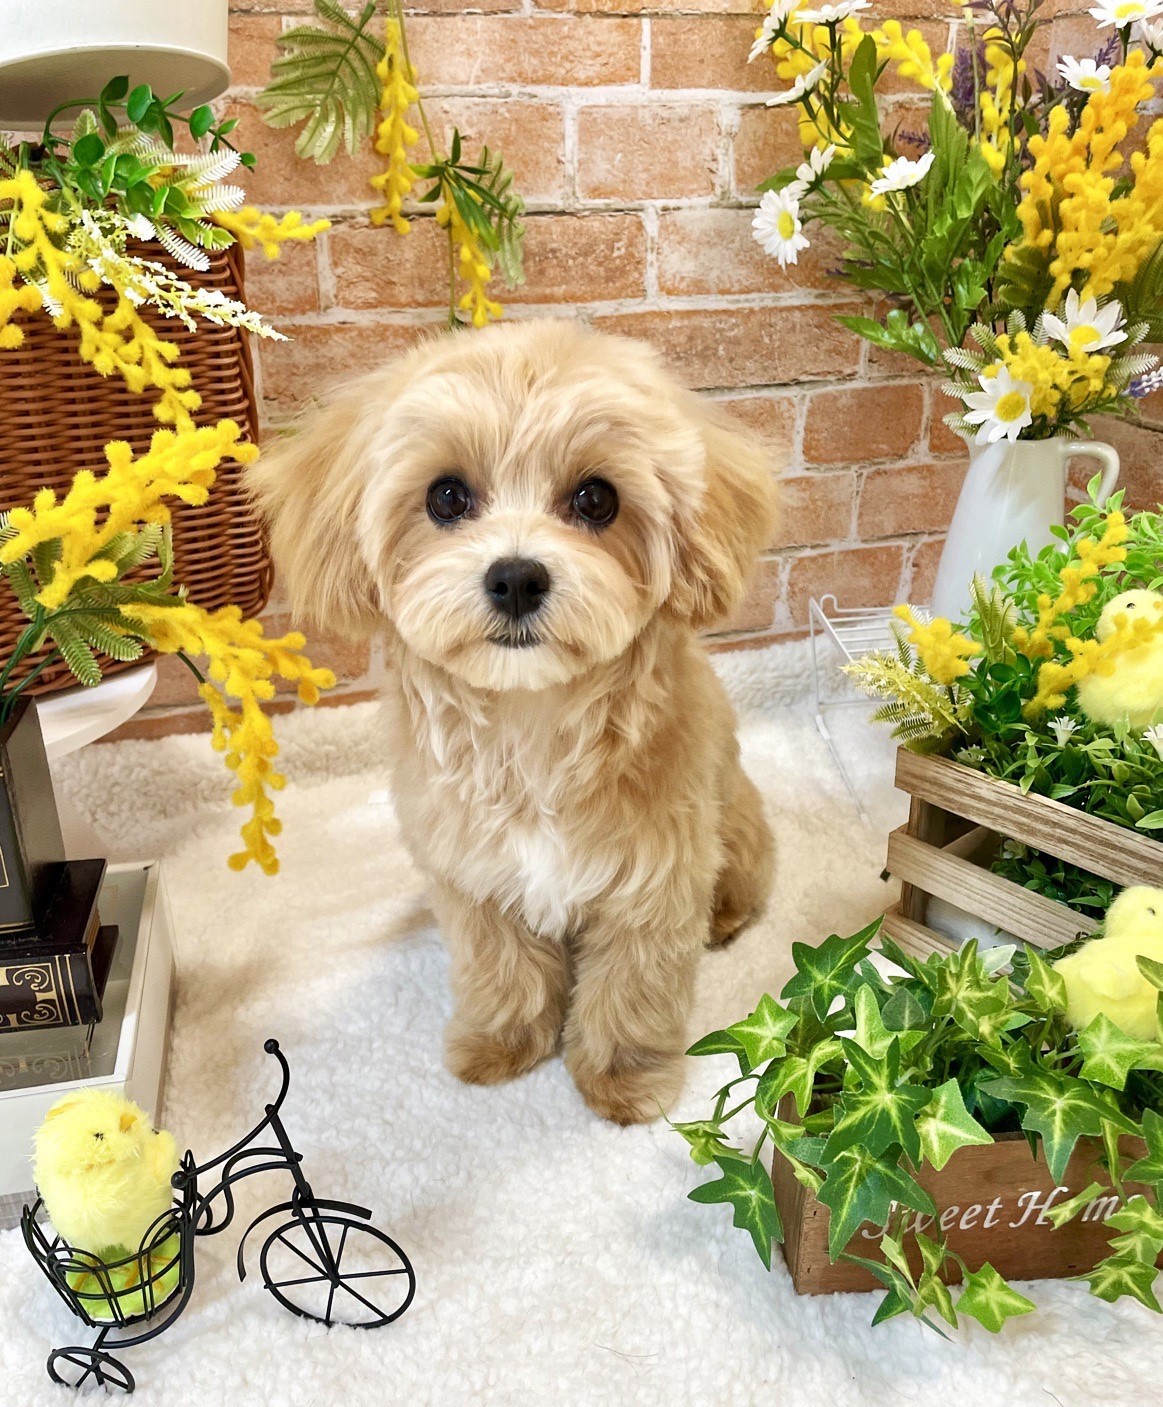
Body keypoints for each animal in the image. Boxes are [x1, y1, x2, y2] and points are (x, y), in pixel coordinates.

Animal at [250, 319, 776, 1119]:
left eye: (596, 499)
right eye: (445, 496)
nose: (518, 577)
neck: (531, 723)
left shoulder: (653, 880)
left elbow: (633, 985)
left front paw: (624, 1080)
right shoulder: (473, 876)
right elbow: (501, 967)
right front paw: (500, 1044)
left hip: (734, 826)